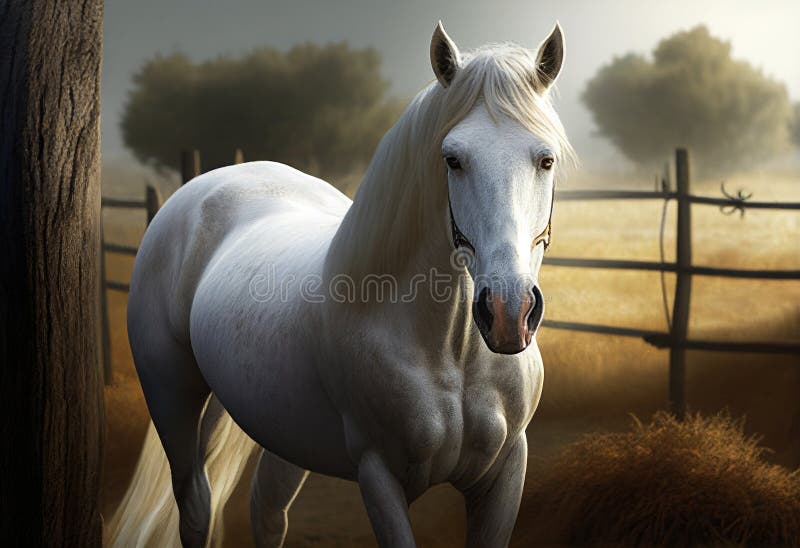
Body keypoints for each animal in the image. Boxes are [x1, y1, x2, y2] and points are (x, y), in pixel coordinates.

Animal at [108, 21, 573, 548]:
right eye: (453, 160)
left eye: (546, 159)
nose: (508, 313)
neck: (451, 352)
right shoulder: (379, 477)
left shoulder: (505, 472)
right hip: (173, 401)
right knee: (195, 506)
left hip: (284, 430)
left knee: (266, 509)